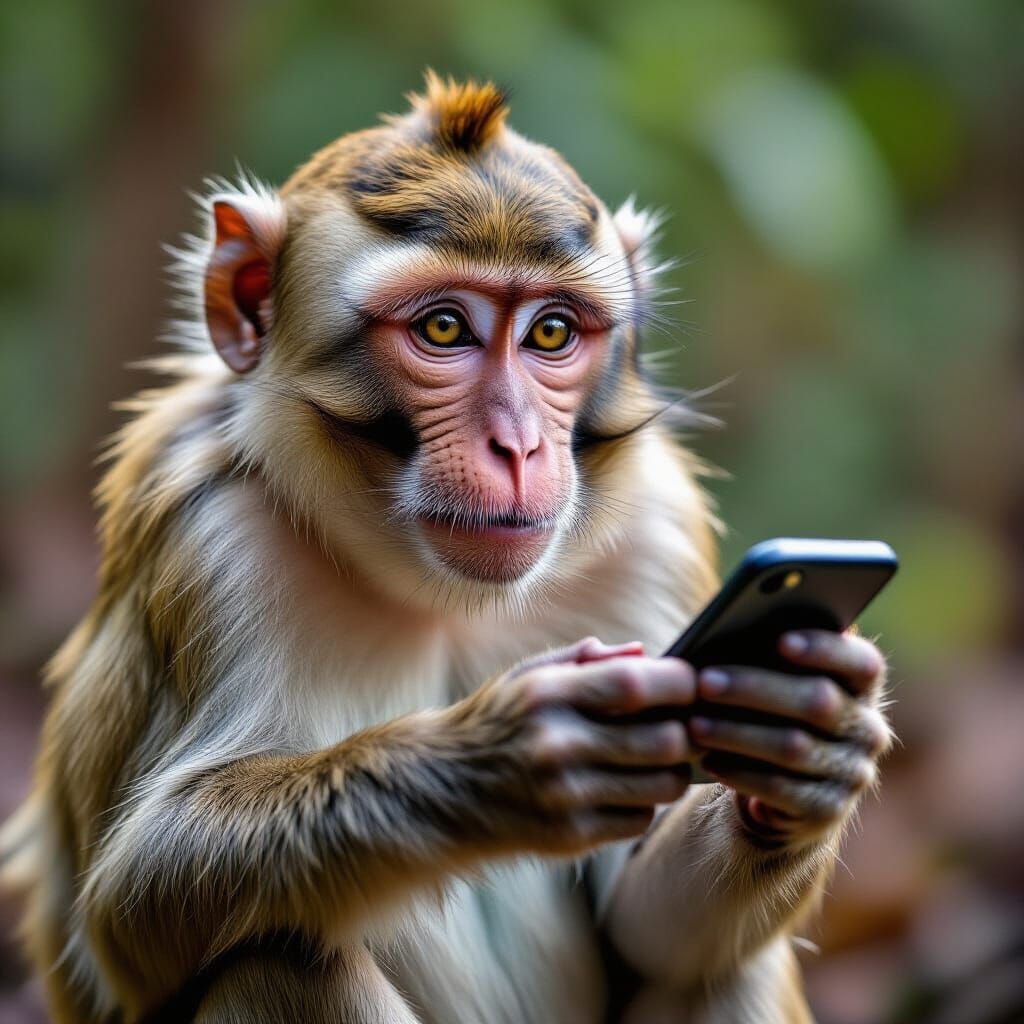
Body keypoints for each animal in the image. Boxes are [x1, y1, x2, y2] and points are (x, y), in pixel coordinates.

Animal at [0, 73, 892, 1023]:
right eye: (442, 330)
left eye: (551, 334)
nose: (519, 447)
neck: (439, 595)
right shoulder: (209, 540)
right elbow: (130, 909)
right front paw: (499, 763)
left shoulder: (655, 532)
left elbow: (647, 932)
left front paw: (816, 744)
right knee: (279, 957)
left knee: (719, 969)